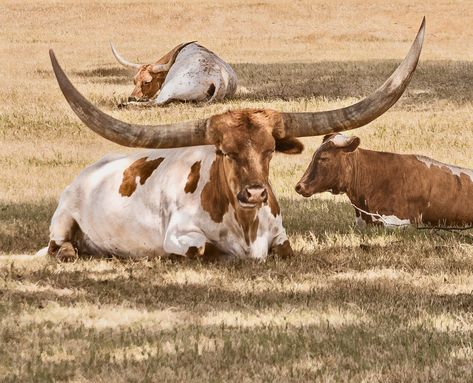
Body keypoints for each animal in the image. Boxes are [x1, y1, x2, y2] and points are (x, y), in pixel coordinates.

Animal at [38, 19, 426, 262]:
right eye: (224, 152)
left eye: (270, 152)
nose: (254, 193)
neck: (247, 225)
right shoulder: (179, 236)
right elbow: (204, 250)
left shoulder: (282, 238)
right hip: (62, 216)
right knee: (58, 246)